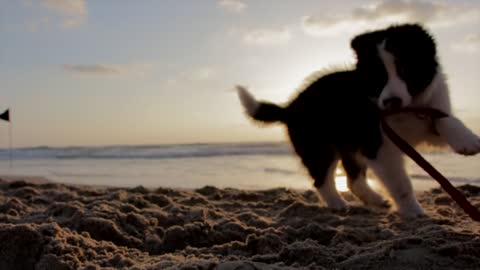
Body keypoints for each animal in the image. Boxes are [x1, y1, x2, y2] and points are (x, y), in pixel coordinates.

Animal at [237, 23, 480, 217]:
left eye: (405, 69)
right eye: (378, 77)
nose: (391, 101)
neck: (408, 109)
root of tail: (291, 107)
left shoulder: (427, 116)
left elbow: (444, 118)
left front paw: (467, 140)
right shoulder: (380, 146)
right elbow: (401, 183)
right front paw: (414, 212)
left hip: (350, 146)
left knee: (352, 180)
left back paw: (375, 200)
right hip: (320, 147)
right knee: (322, 179)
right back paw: (337, 204)